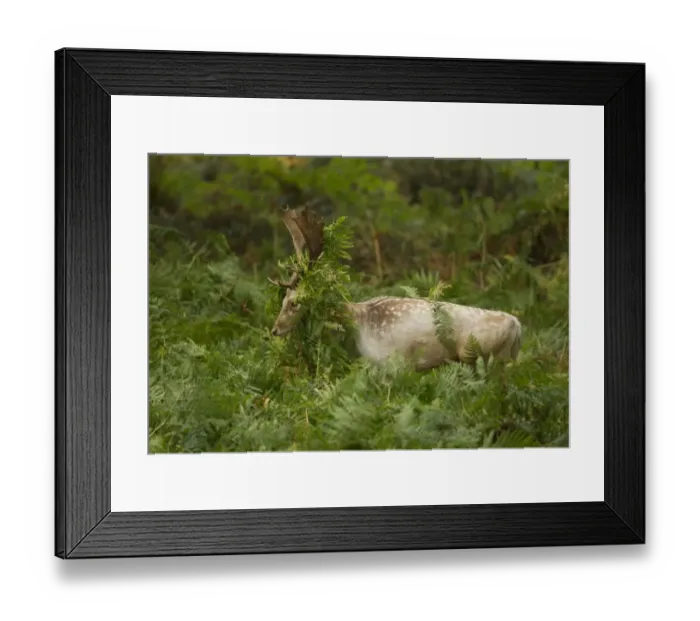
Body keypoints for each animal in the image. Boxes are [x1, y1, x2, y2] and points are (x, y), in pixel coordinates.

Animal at [268, 206, 523, 374]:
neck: (360, 322)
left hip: (485, 356)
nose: (274, 330)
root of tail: (518, 326)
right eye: (283, 299)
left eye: (294, 302)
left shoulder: (393, 363)